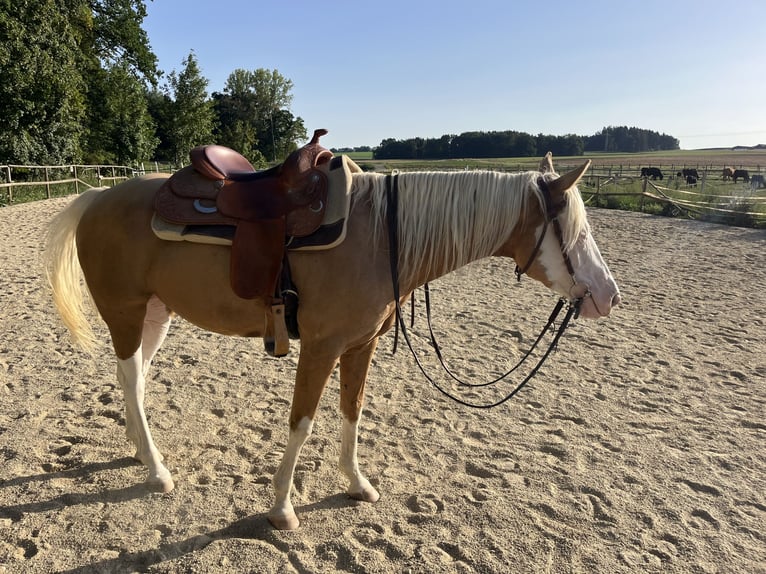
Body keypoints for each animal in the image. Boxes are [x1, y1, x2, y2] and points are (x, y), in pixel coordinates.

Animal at [43, 151, 620, 530]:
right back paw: (158, 470)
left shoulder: (359, 346)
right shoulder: (320, 348)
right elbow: (302, 422)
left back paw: (143, 454)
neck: (380, 236)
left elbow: (352, 412)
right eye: (577, 230)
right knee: (130, 377)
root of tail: (95, 197)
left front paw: (356, 484)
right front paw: (281, 508)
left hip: (156, 315)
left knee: (135, 381)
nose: (609, 296)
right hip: (125, 313)